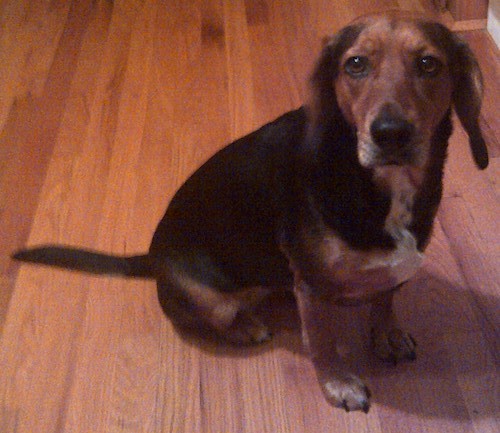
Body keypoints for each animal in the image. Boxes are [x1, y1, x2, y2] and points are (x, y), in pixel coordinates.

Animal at [12, 12, 488, 412]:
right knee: (206, 316)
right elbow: (322, 342)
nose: (390, 134)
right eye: (355, 64)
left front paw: (387, 333)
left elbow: (386, 298)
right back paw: (244, 327)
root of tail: (154, 255)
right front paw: (338, 384)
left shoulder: (396, 266)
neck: (383, 186)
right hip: (212, 297)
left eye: (428, 63)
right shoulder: (311, 284)